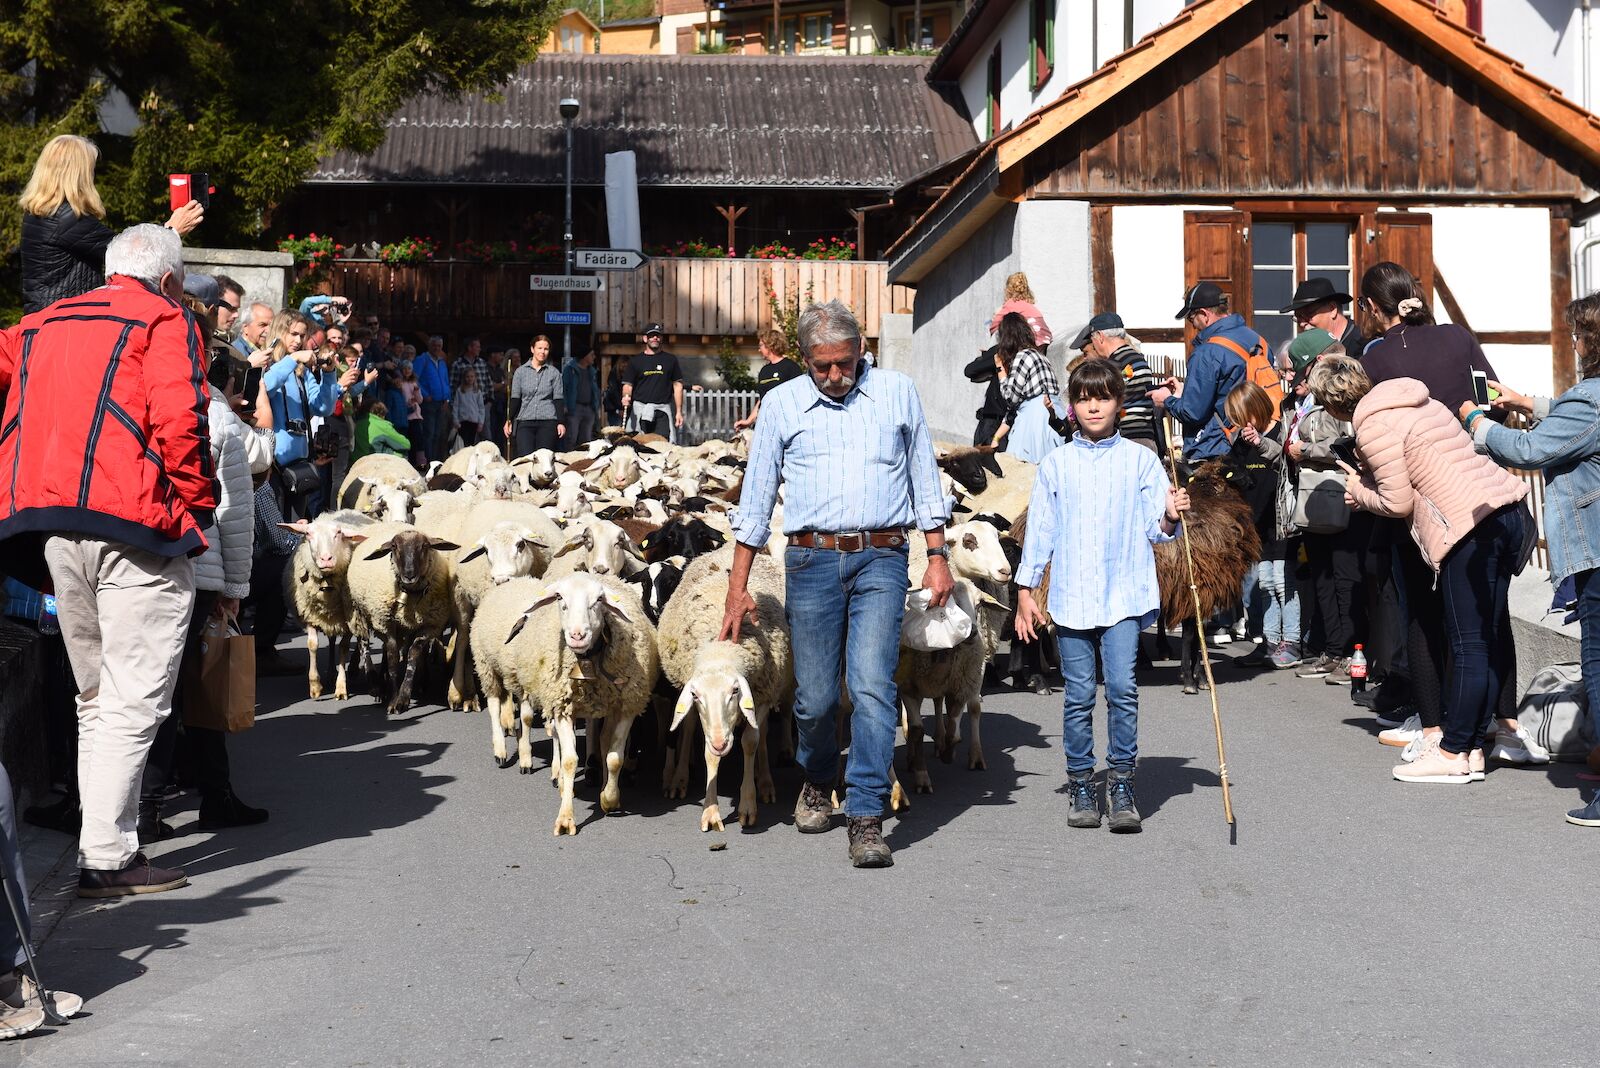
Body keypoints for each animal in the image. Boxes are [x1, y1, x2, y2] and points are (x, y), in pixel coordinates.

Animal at [470, 575, 659, 831]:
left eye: (599, 600)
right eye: (560, 598)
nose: (577, 635)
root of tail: (515, 580)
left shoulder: (626, 706)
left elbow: (614, 758)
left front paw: (609, 798)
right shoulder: (562, 706)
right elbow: (570, 761)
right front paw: (566, 818)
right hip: (488, 666)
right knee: (494, 705)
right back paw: (503, 750)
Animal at [656, 549, 793, 831]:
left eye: (735, 692)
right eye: (695, 695)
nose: (721, 743)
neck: (720, 649)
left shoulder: (761, 696)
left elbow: (751, 742)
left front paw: (748, 805)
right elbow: (709, 753)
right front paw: (710, 810)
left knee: (762, 734)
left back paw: (765, 781)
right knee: (688, 729)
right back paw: (680, 778)